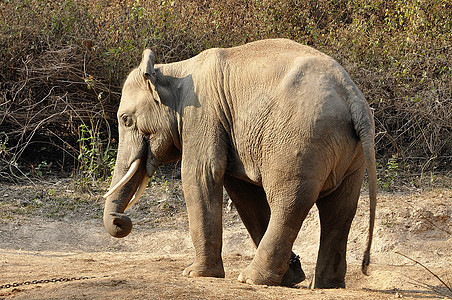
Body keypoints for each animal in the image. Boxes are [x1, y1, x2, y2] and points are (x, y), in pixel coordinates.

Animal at [103, 37, 378, 288]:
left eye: (126, 119)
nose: (120, 220)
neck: (174, 70)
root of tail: (353, 97)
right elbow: (243, 193)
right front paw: (292, 276)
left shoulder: (202, 115)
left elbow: (200, 175)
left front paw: (194, 273)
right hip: (350, 154)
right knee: (340, 210)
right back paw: (323, 285)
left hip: (301, 143)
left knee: (289, 202)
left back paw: (251, 278)